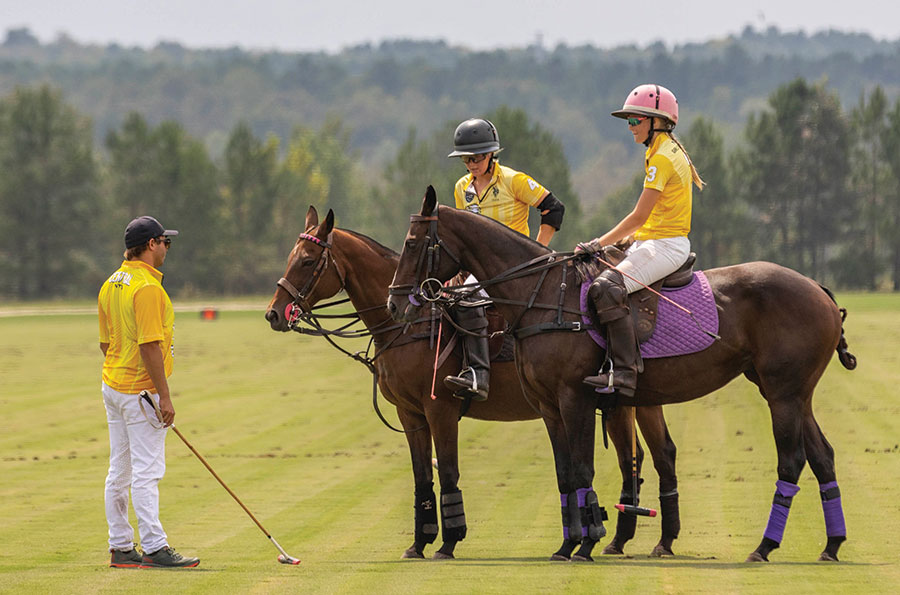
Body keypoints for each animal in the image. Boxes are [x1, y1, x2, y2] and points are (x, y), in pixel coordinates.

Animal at [264, 208, 684, 560]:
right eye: (290, 258)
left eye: (306, 261)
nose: (273, 314)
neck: (411, 325)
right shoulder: (409, 413)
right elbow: (422, 477)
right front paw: (418, 544)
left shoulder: (440, 408)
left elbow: (447, 471)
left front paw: (448, 542)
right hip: (629, 401)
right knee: (647, 455)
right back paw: (631, 540)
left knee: (644, 457)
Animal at [384, 187, 852, 564]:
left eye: (412, 242)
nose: (396, 305)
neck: (541, 294)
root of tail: (820, 289)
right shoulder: (549, 406)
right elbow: (565, 474)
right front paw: (567, 545)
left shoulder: (574, 397)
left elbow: (583, 470)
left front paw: (587, 543)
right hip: (793, 392)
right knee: (823, 455)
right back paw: (831, 545)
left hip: (782, 392)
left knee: (791, 460)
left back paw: (764, 547)